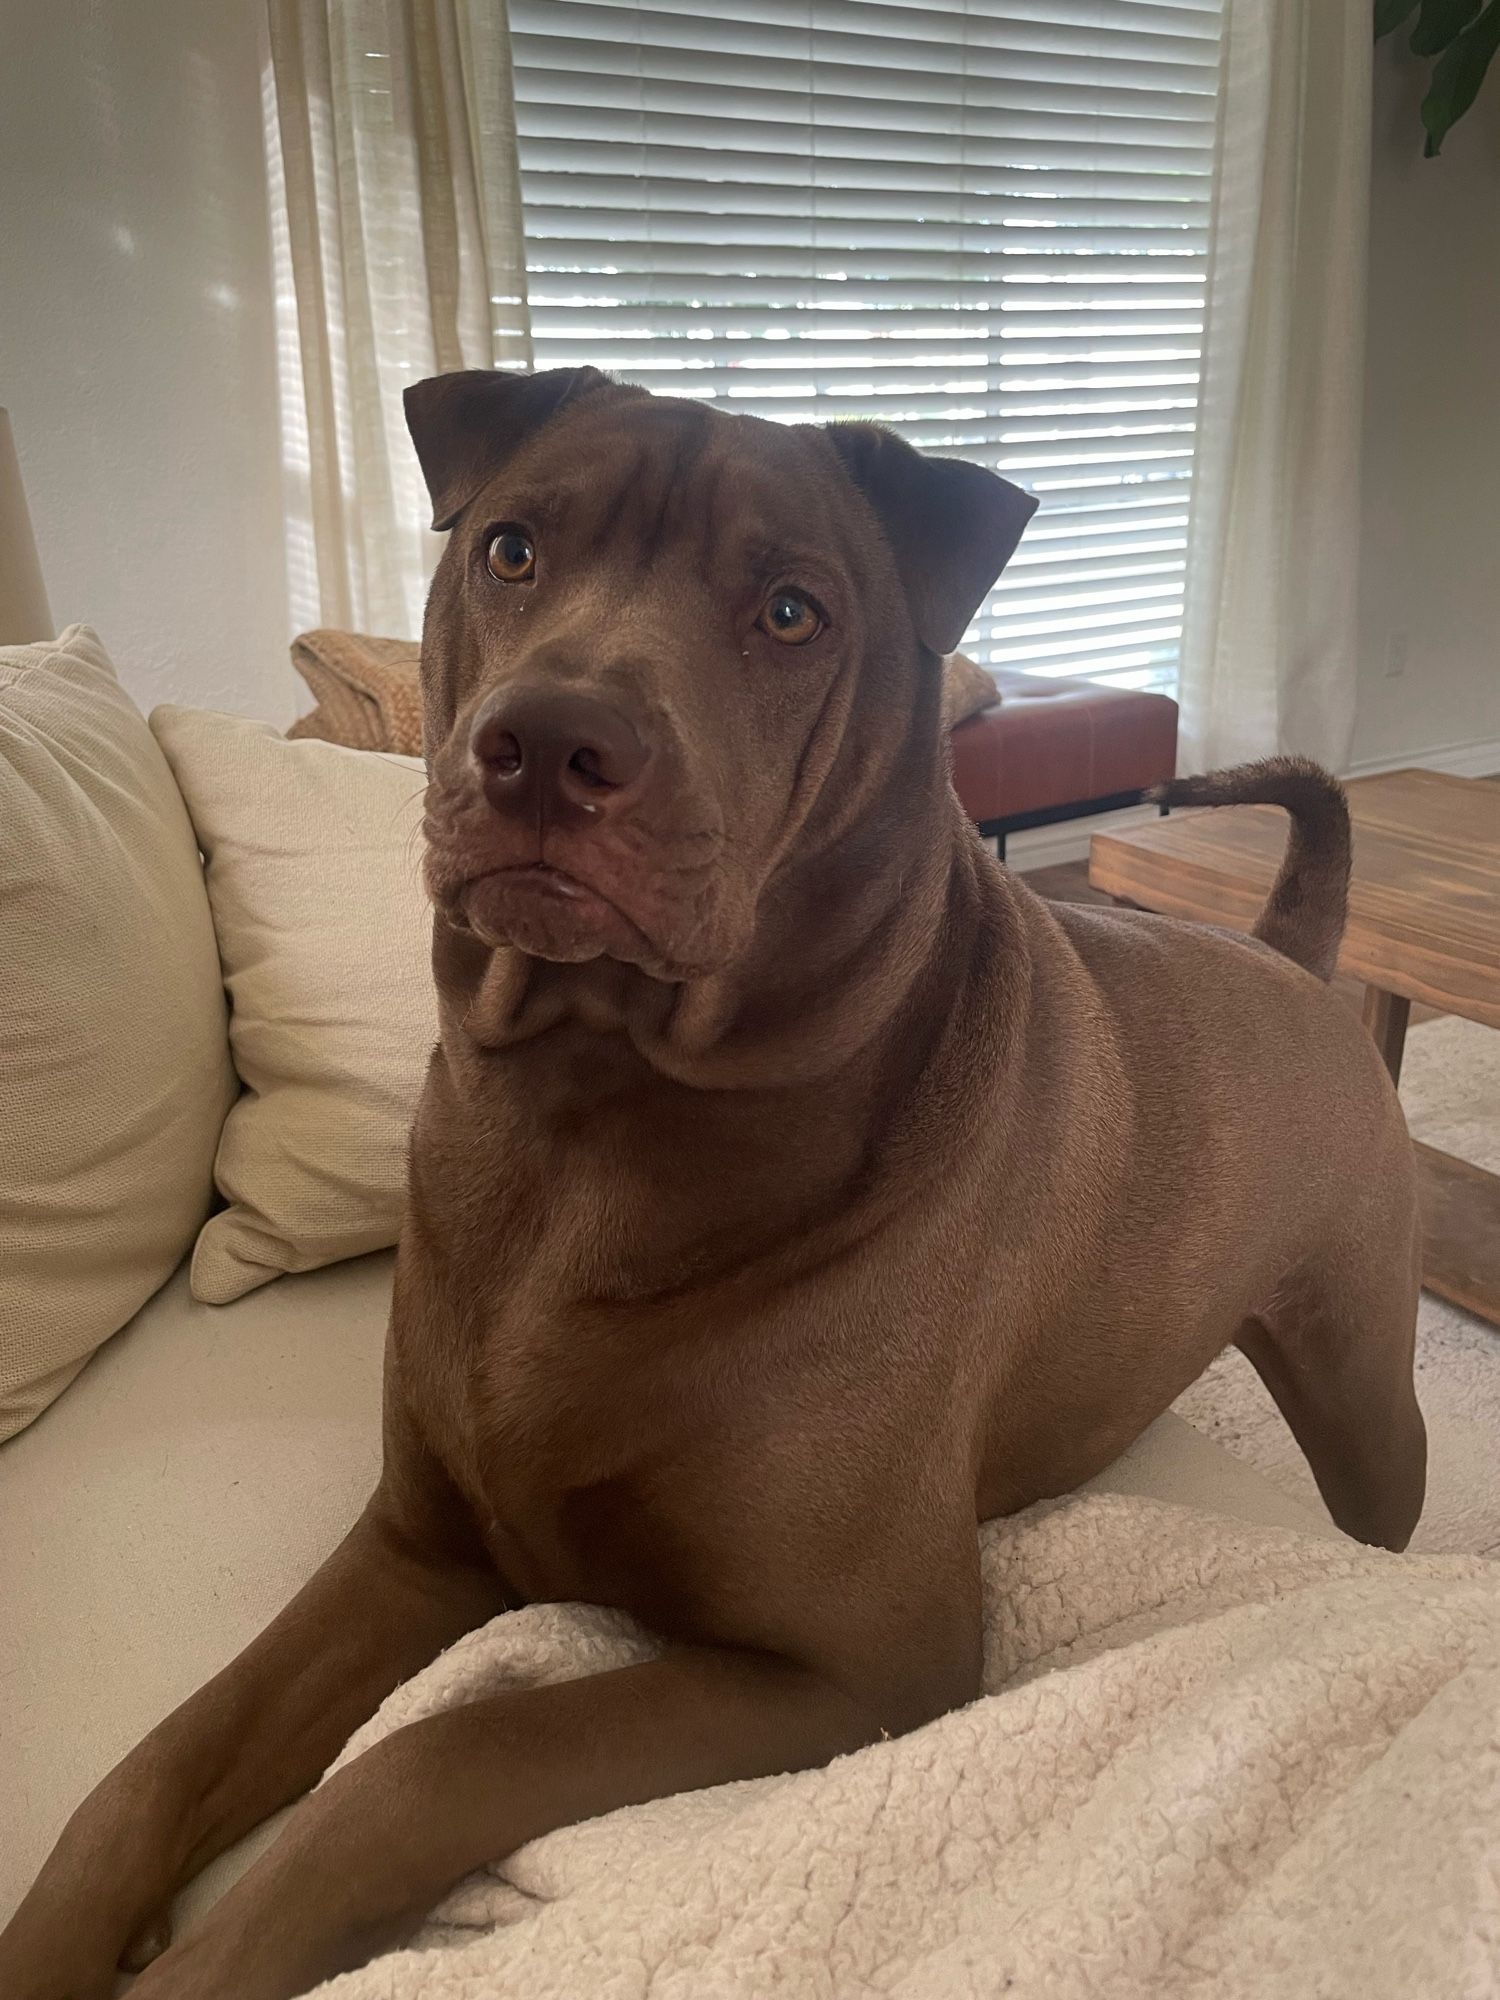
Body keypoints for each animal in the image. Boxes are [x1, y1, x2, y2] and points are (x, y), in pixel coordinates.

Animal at [0, 376, 1424, 2000]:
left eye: (793, 609)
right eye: (510, 547)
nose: (547, 740)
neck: (590, 1119)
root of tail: (1292, 955)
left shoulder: (854, 1665)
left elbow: (427, 1762)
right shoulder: (415, 1544)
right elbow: (152, 1767)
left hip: (1367, 1399)